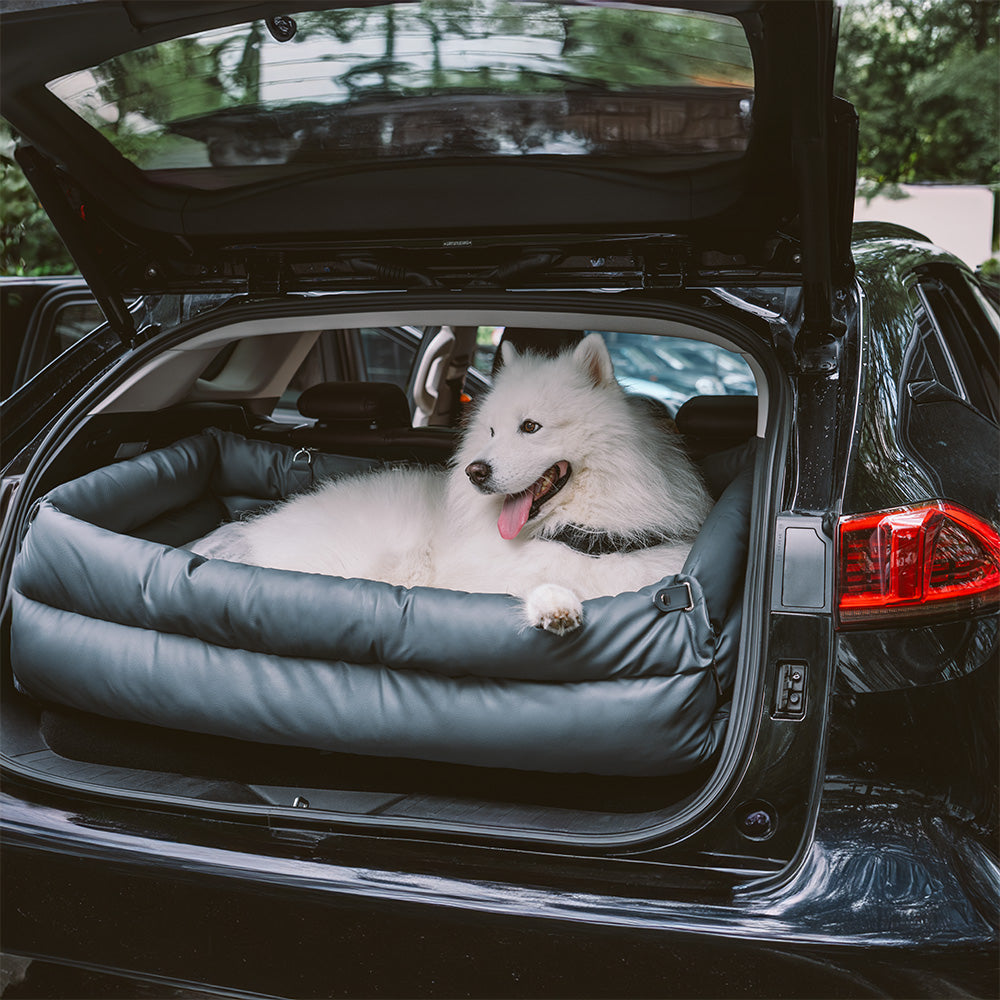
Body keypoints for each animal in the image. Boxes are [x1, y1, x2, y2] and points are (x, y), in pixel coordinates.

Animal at [193, 336, 712, 632]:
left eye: (531, 427)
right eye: (491, 431)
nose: (474, 471)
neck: (578, 536)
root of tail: (257, 532)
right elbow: (536, 584)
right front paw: (555, 605)